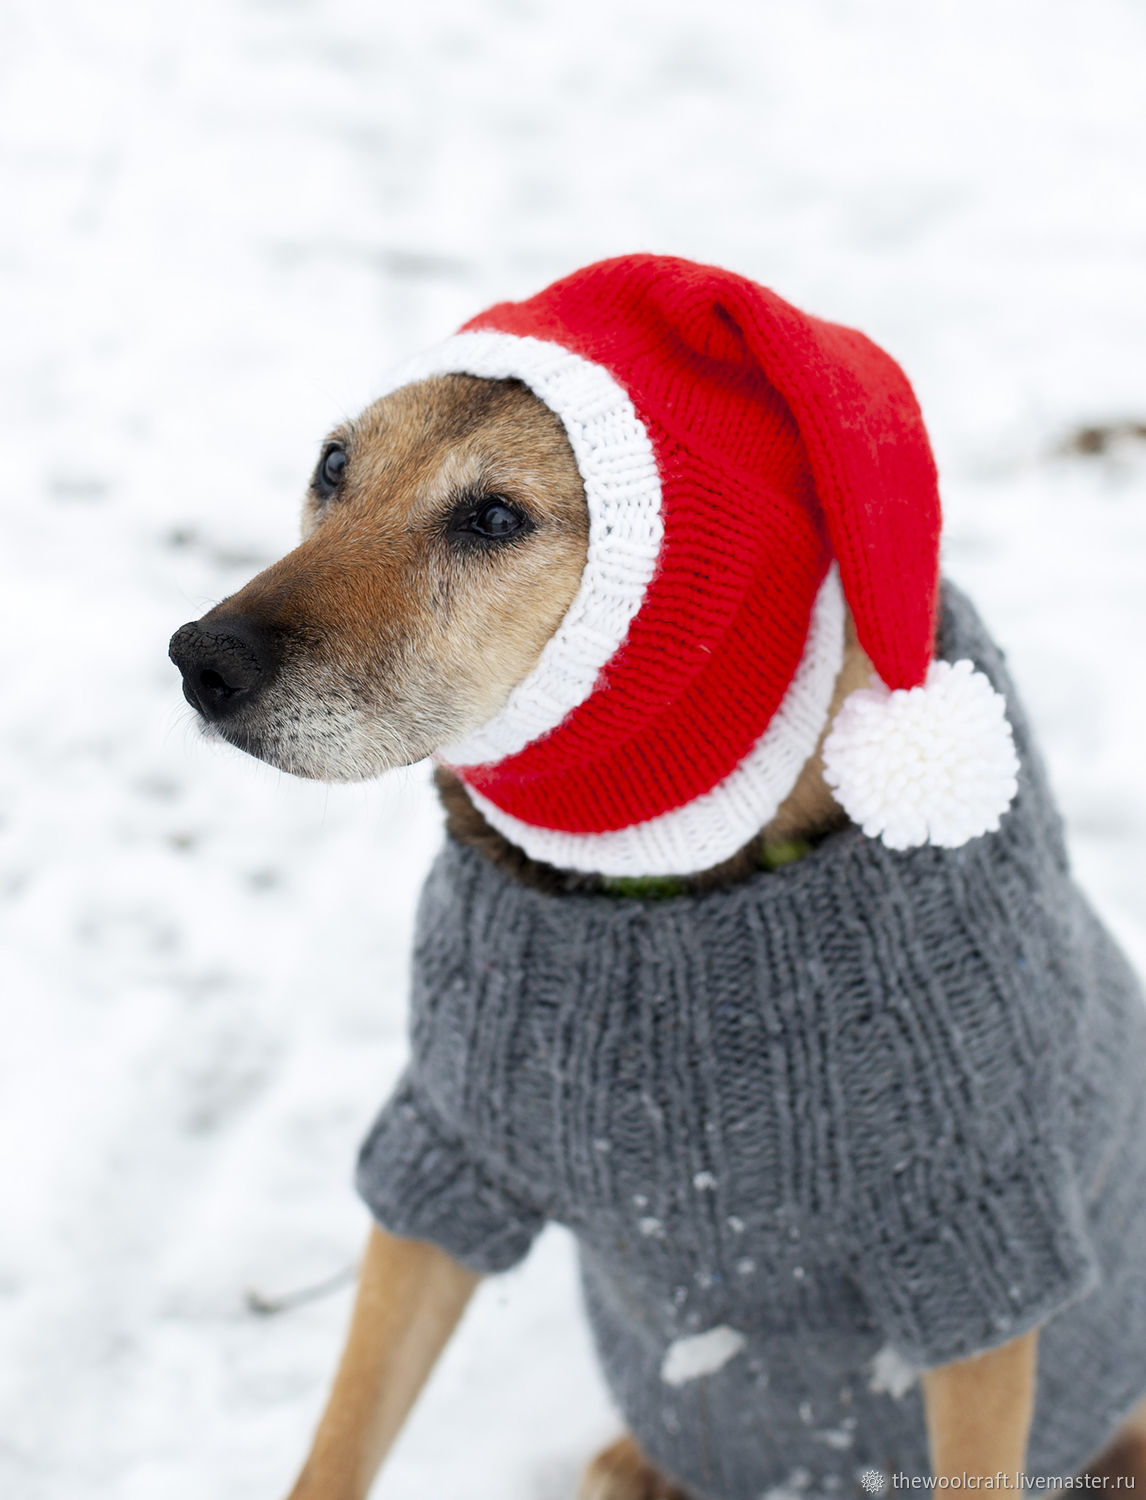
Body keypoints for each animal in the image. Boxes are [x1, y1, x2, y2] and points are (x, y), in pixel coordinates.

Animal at [170, 258, 1146, 1500]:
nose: (202, 659)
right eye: (334, 466)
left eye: (495, 517)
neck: (661, 884)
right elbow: (341, 1436)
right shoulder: (447, 1162)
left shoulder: (980, 1244)